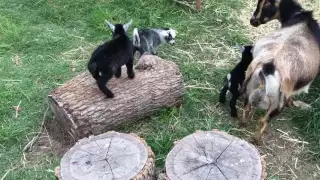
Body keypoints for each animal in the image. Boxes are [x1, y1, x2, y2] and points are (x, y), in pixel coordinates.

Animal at [241, 0, 320, 145]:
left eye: (266, 5)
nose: (253, 20)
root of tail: (269, 66)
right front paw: (292, 104)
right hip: (277, 102)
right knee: (263, 120)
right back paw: (257, 140)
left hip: (250, 86)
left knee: (247, 107)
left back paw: (243, 124)